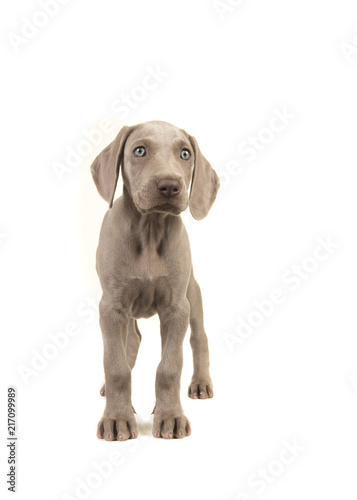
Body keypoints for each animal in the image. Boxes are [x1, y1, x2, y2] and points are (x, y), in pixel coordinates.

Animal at [90, 119, 218, 440]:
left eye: (185, 154)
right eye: (139, 150)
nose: (170, 186)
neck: (149, 230)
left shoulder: (176, 309)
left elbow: (170, 367)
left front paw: (170, 416)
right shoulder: (111, 307)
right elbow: (116, 366)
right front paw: (117, 417)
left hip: (192, 293)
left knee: (199, 337)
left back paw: (201, 383)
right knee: (131, 341)